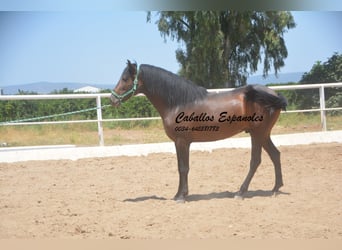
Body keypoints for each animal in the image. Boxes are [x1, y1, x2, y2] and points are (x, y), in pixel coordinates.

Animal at [110, 60, 286, 203]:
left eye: (125, 79)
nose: (112, 100)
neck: (179, 103)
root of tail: (273, 94)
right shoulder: (180, 142)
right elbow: (181, 167)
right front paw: (178, 194)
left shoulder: (182, 141)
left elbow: (183, 168)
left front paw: (181, 196)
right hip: (264, 134)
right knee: (275, 155)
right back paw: (275, 189)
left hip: (257, 134)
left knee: (255, 161)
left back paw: (241, 192)